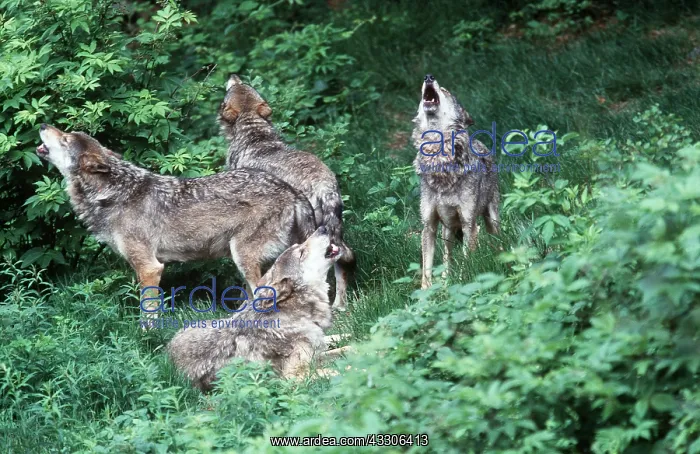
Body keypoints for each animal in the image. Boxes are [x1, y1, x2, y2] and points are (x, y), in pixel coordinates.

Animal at [36, 124, 317, 314]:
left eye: (65, 138)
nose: (42, 125)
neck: (112, 194)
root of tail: (292, 191)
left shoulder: (150, 267)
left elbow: (148, 311)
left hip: (243, 257)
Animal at [167, 226, 351, 391]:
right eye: (301, 252)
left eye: (299, 246)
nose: (323, 227)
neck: (296, 313)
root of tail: (168, 350)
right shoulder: (294, 376)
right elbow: (340, 371)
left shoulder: (314, 356)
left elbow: (346, 350)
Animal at [218, 75, 355, 311]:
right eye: (243, 84)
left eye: (234, 87)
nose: (234, 75)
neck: (254, 133)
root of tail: (323, 186)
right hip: (332, 232)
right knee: (340, 265)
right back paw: (339, 306)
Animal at [412, 74, 500, 289]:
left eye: (445, 90)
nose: (428, 77)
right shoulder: (429, 226)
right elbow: (427, 269)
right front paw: (425, 294)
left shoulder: (469, 225)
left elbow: (466, 264)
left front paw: (463, 285)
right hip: (447, 232)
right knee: (447, 258)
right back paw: (445, 282)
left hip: (491, 220)